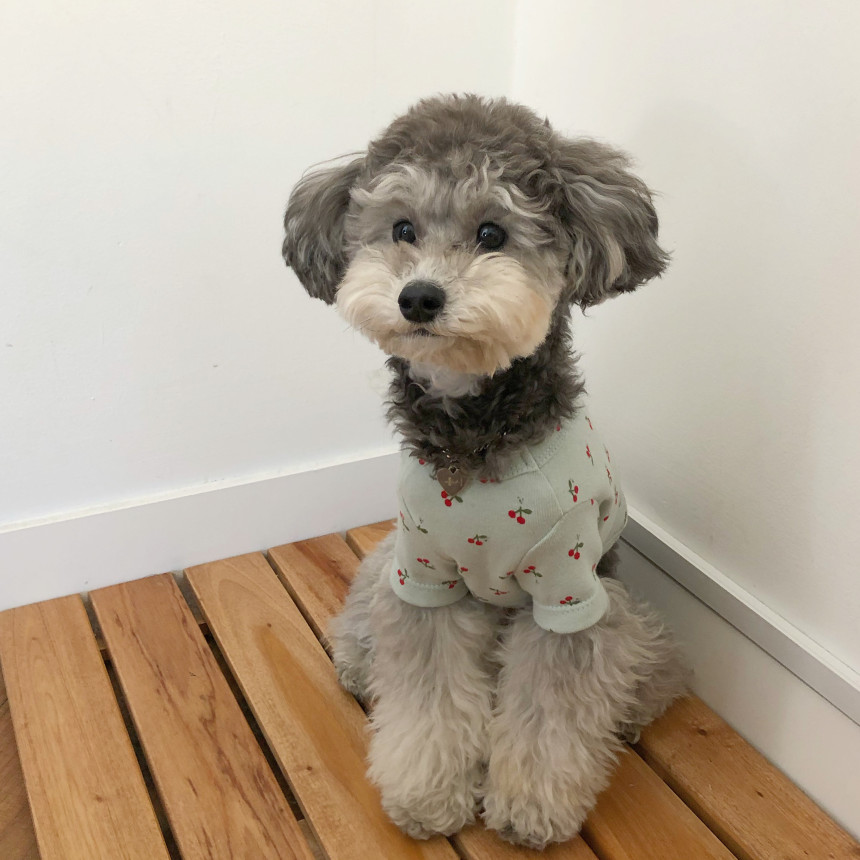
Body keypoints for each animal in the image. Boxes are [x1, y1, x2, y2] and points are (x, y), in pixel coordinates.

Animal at [282, 94, 686, 848]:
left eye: (492, 232)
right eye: (402, 228)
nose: (418, 297)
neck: (472, 437)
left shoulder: (567, 594)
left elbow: (551, 714)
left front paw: (531, 809)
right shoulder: (425, 578)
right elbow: (429, 698)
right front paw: (426, 796)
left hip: (625, 613)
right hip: (388, 566)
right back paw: (358, 667)